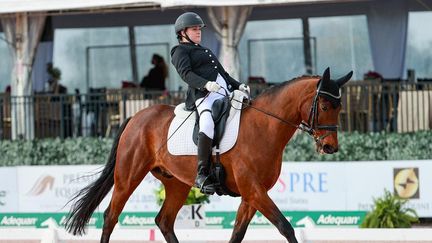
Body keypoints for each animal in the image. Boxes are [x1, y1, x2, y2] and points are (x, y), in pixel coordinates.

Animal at [66, 67, 352, 242]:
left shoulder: (251, 195)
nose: (330, 147)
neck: (264, 127)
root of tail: (136, 117)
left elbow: (237, 234)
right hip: (128, 176)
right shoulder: (254, 190)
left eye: (340, 108)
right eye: (324, 106)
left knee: (164, 221)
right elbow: (286, 227)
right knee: (111, 216)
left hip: (176, 184)